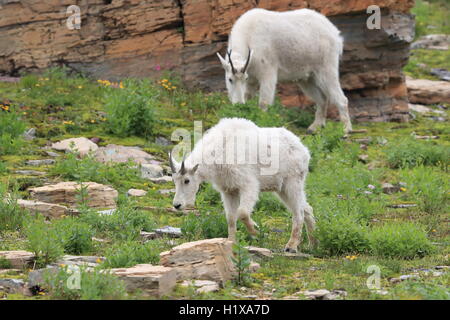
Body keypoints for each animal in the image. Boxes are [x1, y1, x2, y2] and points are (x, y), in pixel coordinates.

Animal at [170, 117, 316, 252]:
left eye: (187, 180)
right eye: (174, 180)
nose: (177, 205)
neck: (220, 150)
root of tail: (303, 149)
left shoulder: (248, 185)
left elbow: (242, 213)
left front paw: (258, 232)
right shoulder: (228, 190)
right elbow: (231, 218)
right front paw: (231, 243)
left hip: (292, 182)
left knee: (299, 212)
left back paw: (291, 246)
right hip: (282, 188)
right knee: (307, 208)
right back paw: (312, 244)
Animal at [217, 8, 352, 134]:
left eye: (234, 79)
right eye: (230, 79)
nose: (238, 104)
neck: (248, 37)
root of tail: (335, 34)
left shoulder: (267, 71)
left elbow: (263, 102)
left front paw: (262, 122)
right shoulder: (251, 78)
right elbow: (248, 96)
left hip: (326, 66)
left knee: (340, 98)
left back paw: (346, 129)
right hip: (307, 77)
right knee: (322, 99)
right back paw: (314, 127)